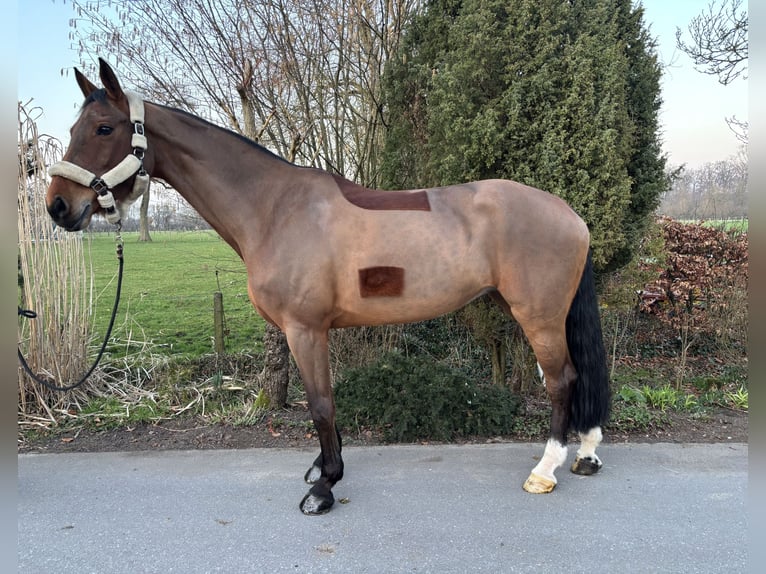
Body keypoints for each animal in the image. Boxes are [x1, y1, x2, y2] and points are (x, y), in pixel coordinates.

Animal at [46, 59, 610, 515]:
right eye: (74, 127)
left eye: (104, 128)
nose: (58, 206)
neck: (273, 207)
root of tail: (569, 214)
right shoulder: (308, 332)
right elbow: (322, 402)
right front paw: (322, 469)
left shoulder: (305, 329)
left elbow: (320, 404)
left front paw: (325, 489)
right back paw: (585, 455)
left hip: (538, 315)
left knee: (561, 380)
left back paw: (545, 470)